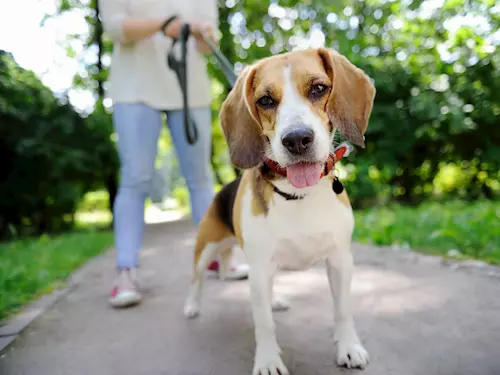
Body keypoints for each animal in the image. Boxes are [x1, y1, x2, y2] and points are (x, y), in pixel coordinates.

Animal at [184, 47, 376, 375]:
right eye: (265, 100)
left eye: (319, 88)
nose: (297, 139)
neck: (298, 194)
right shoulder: (260, 267)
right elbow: (264, 325)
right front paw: (268, 361)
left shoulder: (340, 261)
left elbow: (343, 311)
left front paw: (349, 347)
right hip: (206, 247)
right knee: (197, 280)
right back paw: (193, 307)